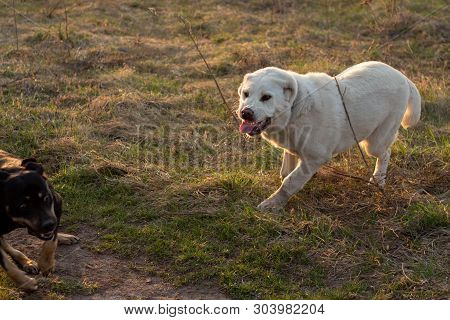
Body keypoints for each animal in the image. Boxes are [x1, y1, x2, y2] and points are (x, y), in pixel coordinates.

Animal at [0, 149, 78, 292]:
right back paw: (27, 262)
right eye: (23, 206)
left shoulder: (56, 204)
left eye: (46, 198)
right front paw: (24, 282)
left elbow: (51, 242)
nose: (48, 225)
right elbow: (6, 264)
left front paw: (46, 264)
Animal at [239, 62, 422, 212]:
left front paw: (272, 204)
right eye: (246, 94)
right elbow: (286, 174)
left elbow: (290, 181)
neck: (295, 110)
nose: (245, 113)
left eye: (266, 97)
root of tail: (404, 78)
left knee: (385, 153)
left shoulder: (316, 157)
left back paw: (378, 179)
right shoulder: (292, 149)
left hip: (375, 142)